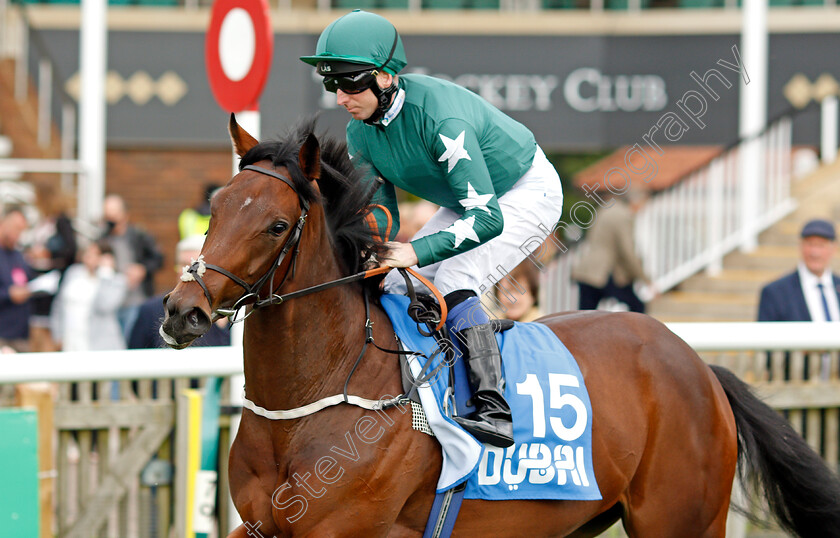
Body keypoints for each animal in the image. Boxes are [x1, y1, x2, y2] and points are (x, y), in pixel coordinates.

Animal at [162, 115, 840, 532]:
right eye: (216, 207)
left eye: (276, 225)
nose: (180, 310)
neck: (313, 398)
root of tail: (698, 365)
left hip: (680, 518)